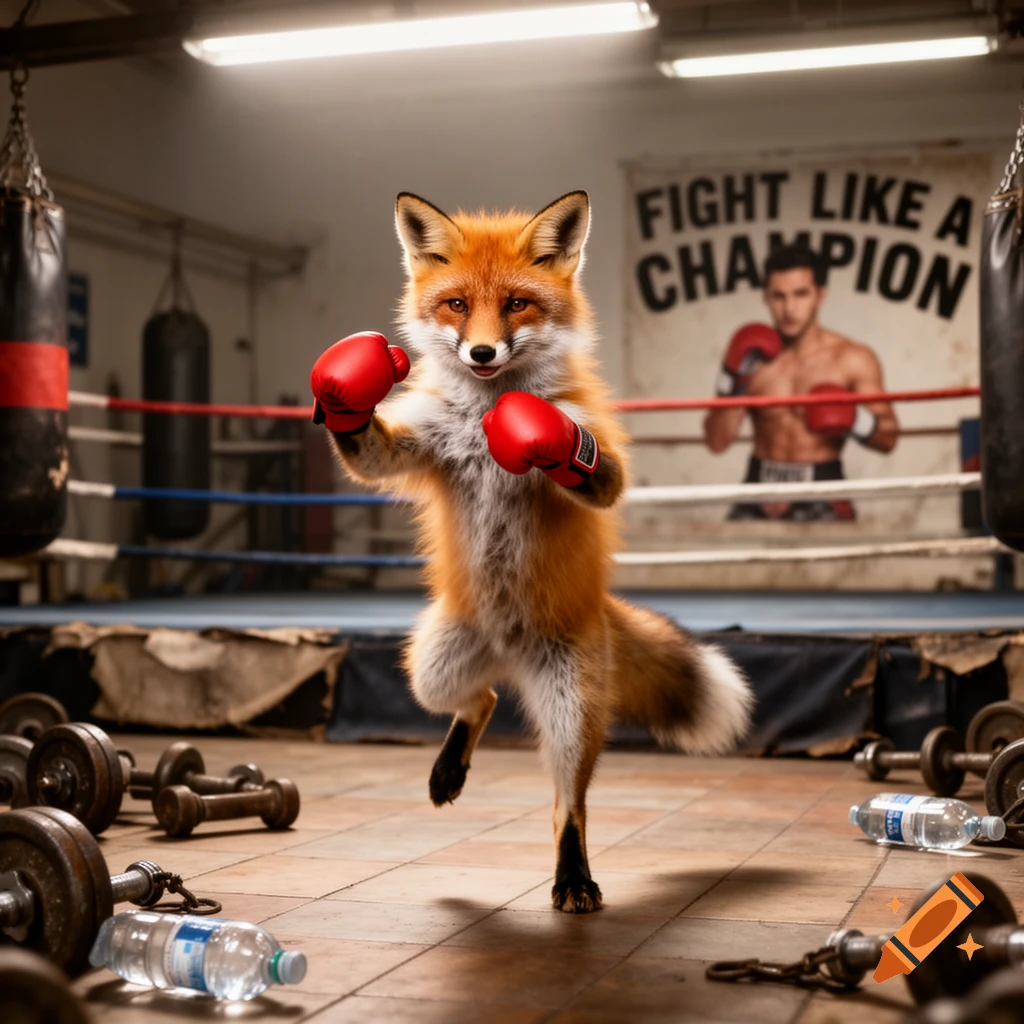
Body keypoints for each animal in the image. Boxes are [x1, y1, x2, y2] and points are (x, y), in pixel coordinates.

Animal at [309, 190, 754, 913]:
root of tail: (509, 648)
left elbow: (584, 459)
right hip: (430, 670)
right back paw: (451, 767)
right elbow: (367, 450)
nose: (483, 351)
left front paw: (540, 434)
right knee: (479, 702)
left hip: (570, 709)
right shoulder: (412, 448)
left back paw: (573, 878)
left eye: (517, 303)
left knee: (566, 804)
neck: (487, 411)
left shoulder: (597, 454)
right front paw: (345, 382)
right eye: (457, 304)